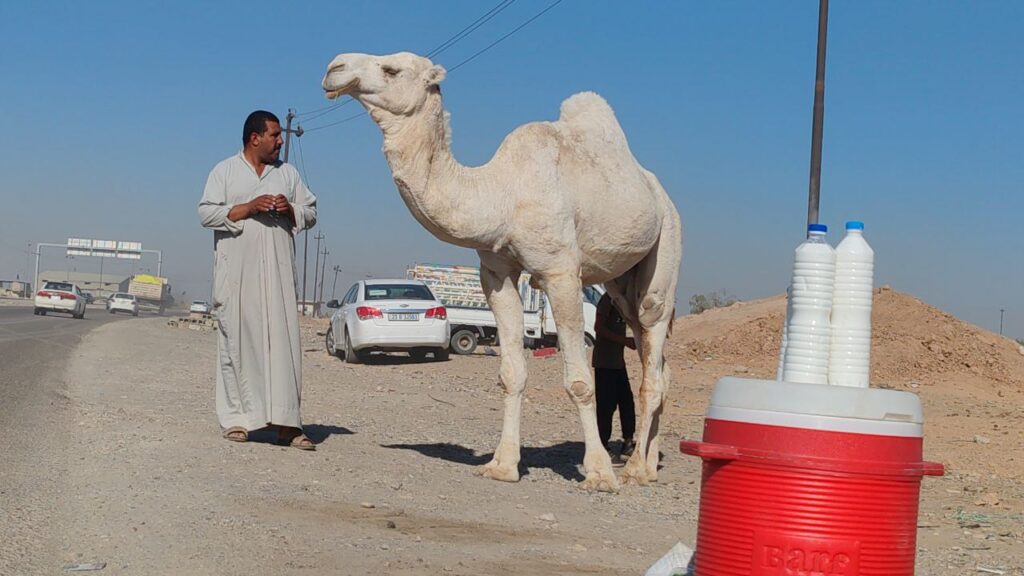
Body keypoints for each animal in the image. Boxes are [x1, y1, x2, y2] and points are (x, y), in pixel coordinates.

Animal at [323, 51, 684, 487]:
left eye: (392, 69)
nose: (335, 68)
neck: (502, 195)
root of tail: (659, 193)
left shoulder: (561, 271)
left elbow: (580, 380)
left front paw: (598, 473)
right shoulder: (496, 273)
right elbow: (512, 372)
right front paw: (502, 465)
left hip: (667, 243)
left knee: (653, 333)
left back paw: (632, 469)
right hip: (620, 283)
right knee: (654, 358)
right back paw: (648, 464)